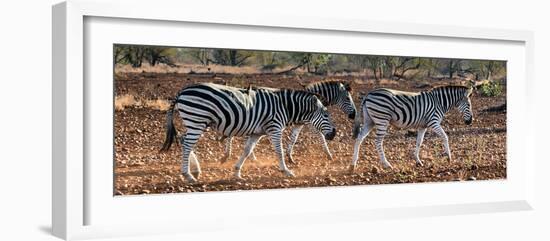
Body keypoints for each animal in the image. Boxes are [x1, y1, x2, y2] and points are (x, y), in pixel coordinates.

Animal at [160, 82, 338, 182]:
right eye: (326, 114)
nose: (334, 134)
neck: (285, 106)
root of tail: (182, 91)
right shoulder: (274, 128)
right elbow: (279, 151)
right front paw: (286, 171)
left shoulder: (257, 133)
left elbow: (247, 151)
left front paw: (237, 172)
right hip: (197, 120)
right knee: (187, 144)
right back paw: (188, 175)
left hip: (197, 122)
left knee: (184, 140)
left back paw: (195, 170)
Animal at [222, 80, 360, 164]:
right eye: (348, 98)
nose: (354, 114)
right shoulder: (311, 123)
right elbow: (320, 136)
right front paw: (329, 155)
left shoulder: (300, 123)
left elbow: (294, 138)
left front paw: (290, 157)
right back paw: (232, 156)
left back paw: (237, 156)